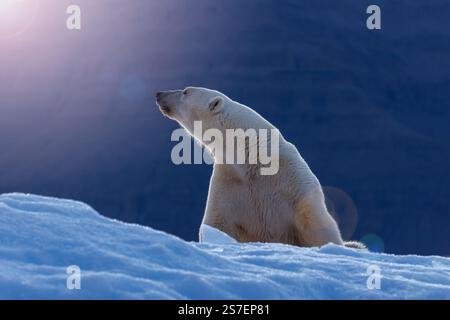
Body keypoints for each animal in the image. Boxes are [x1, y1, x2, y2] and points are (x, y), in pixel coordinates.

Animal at [156, 88, 364, 250]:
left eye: (185, 91)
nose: (159, 94)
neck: (252, 157)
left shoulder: (292, 183)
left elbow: (315, 221)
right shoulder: (229, 183)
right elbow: (217, 223)